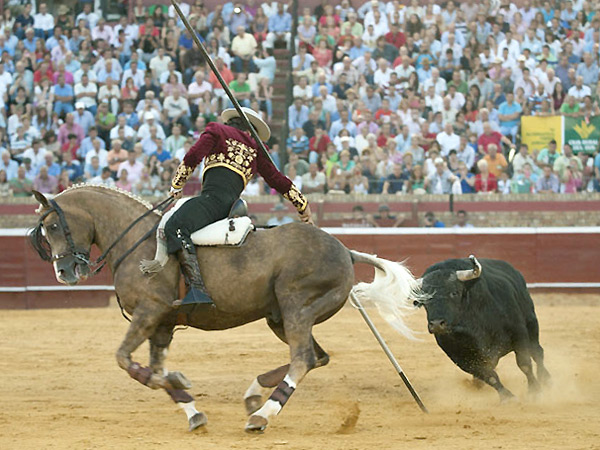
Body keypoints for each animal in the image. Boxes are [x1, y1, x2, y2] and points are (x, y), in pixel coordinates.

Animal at [29, 185, 422, 432]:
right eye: (45, 231)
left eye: (54, 225)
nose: (64, 273)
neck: (136, 241)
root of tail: (345, 250)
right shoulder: (162, 324)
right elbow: (155, 369)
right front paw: (192, 411)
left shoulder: (148, 312)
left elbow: (125, 359)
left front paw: (179, 381)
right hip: (281, 317)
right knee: (316, 357)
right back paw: (253, 394)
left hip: (296, 306)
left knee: (303, 358)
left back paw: (262, 416)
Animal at [414, 255, 552, 400]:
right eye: (424, 299)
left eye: (454, 292)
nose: (436, 324)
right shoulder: (460, 357)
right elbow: (488, 376)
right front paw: (507, 397)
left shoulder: (518, 332)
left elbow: (524, 363)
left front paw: (534, 390)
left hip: (531, 323)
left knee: (537, 352)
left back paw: (546, 379)